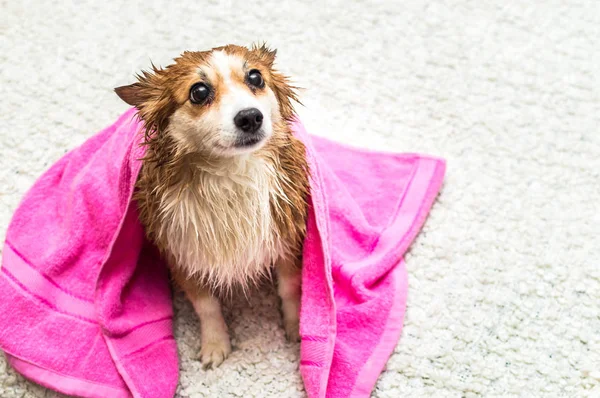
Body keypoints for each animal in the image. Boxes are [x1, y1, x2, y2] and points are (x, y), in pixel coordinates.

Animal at [113, 43, 310, 366]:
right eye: (199, 91)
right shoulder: (183, 254)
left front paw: (296, 328)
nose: (250, 117)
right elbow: (207, 306)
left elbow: (289, 289)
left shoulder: (286, 240)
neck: (230, 174)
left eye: (255, 77)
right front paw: (216, 345)